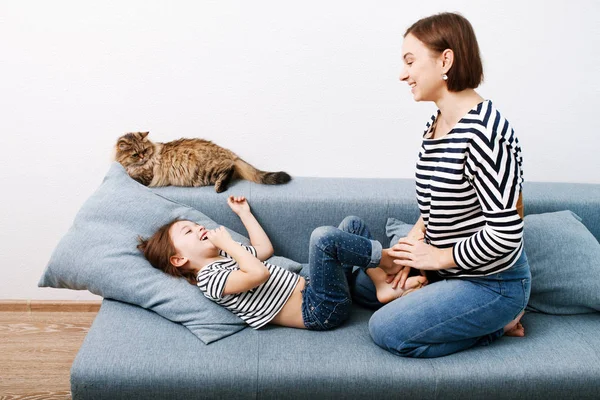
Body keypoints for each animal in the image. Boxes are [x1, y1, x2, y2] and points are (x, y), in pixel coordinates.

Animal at [114, 132, 290, 193]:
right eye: (135, 154)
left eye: (144, 151)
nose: (143, 157)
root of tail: (227, 151)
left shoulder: (146, 176)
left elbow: (133, 176)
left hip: (204, 171)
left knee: (229, 168)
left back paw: (220, 187)